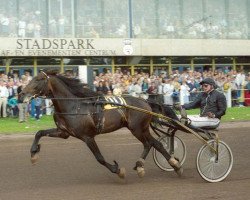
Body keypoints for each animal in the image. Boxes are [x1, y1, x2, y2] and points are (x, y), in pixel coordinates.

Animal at [18, 70, 182, 178]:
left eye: (38, 79)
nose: (21, 94)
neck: (73, 106)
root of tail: (146, 102)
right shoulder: (63, 132)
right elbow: (39, 132)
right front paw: (34, 153)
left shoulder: (87, 137)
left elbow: (99, 158)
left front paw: (118, 170)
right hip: (139, 129)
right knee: (153, 144)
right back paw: (150, 165)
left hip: (138, 129)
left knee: (153, 144)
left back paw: (170, 165)